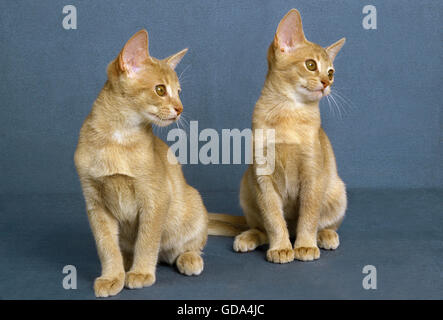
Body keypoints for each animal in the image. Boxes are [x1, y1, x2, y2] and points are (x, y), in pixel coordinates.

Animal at [74, 30, 208, 298]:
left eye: (179, 91)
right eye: (160, 90)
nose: (180, 108)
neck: (118, 139)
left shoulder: (155, 199)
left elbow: (147, 241)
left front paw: (142, 273)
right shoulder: (95, 203)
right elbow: (106, 246)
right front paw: (112, 276)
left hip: (193, 202)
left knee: (188, 245)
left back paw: (188, 258)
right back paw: (126, 262)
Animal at [213, 9, 348, 262]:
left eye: (331, 72)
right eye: (311, 65)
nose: (327, 83)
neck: (289, 114)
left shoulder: (312, 175)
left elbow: (309, 216)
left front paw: (305, 245)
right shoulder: (263, 177)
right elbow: (274, 219)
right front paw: (281, 248)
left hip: (338, 189)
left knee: (326, 223)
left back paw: (325, 236)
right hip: (246, 185)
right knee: (260, 227)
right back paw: (248, 237)